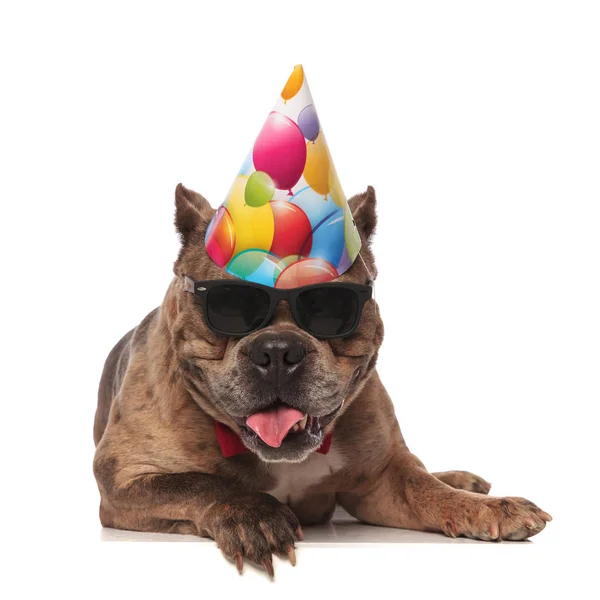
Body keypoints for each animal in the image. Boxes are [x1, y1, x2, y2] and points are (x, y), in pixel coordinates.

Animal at [95, 184, 552, 576]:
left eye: (330, 306)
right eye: (230, 306)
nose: (278, 350)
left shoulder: (384, 480)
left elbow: (427, 490)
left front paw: (489, 506)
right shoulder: (123, 478)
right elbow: (198, 484)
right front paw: (252, 516)